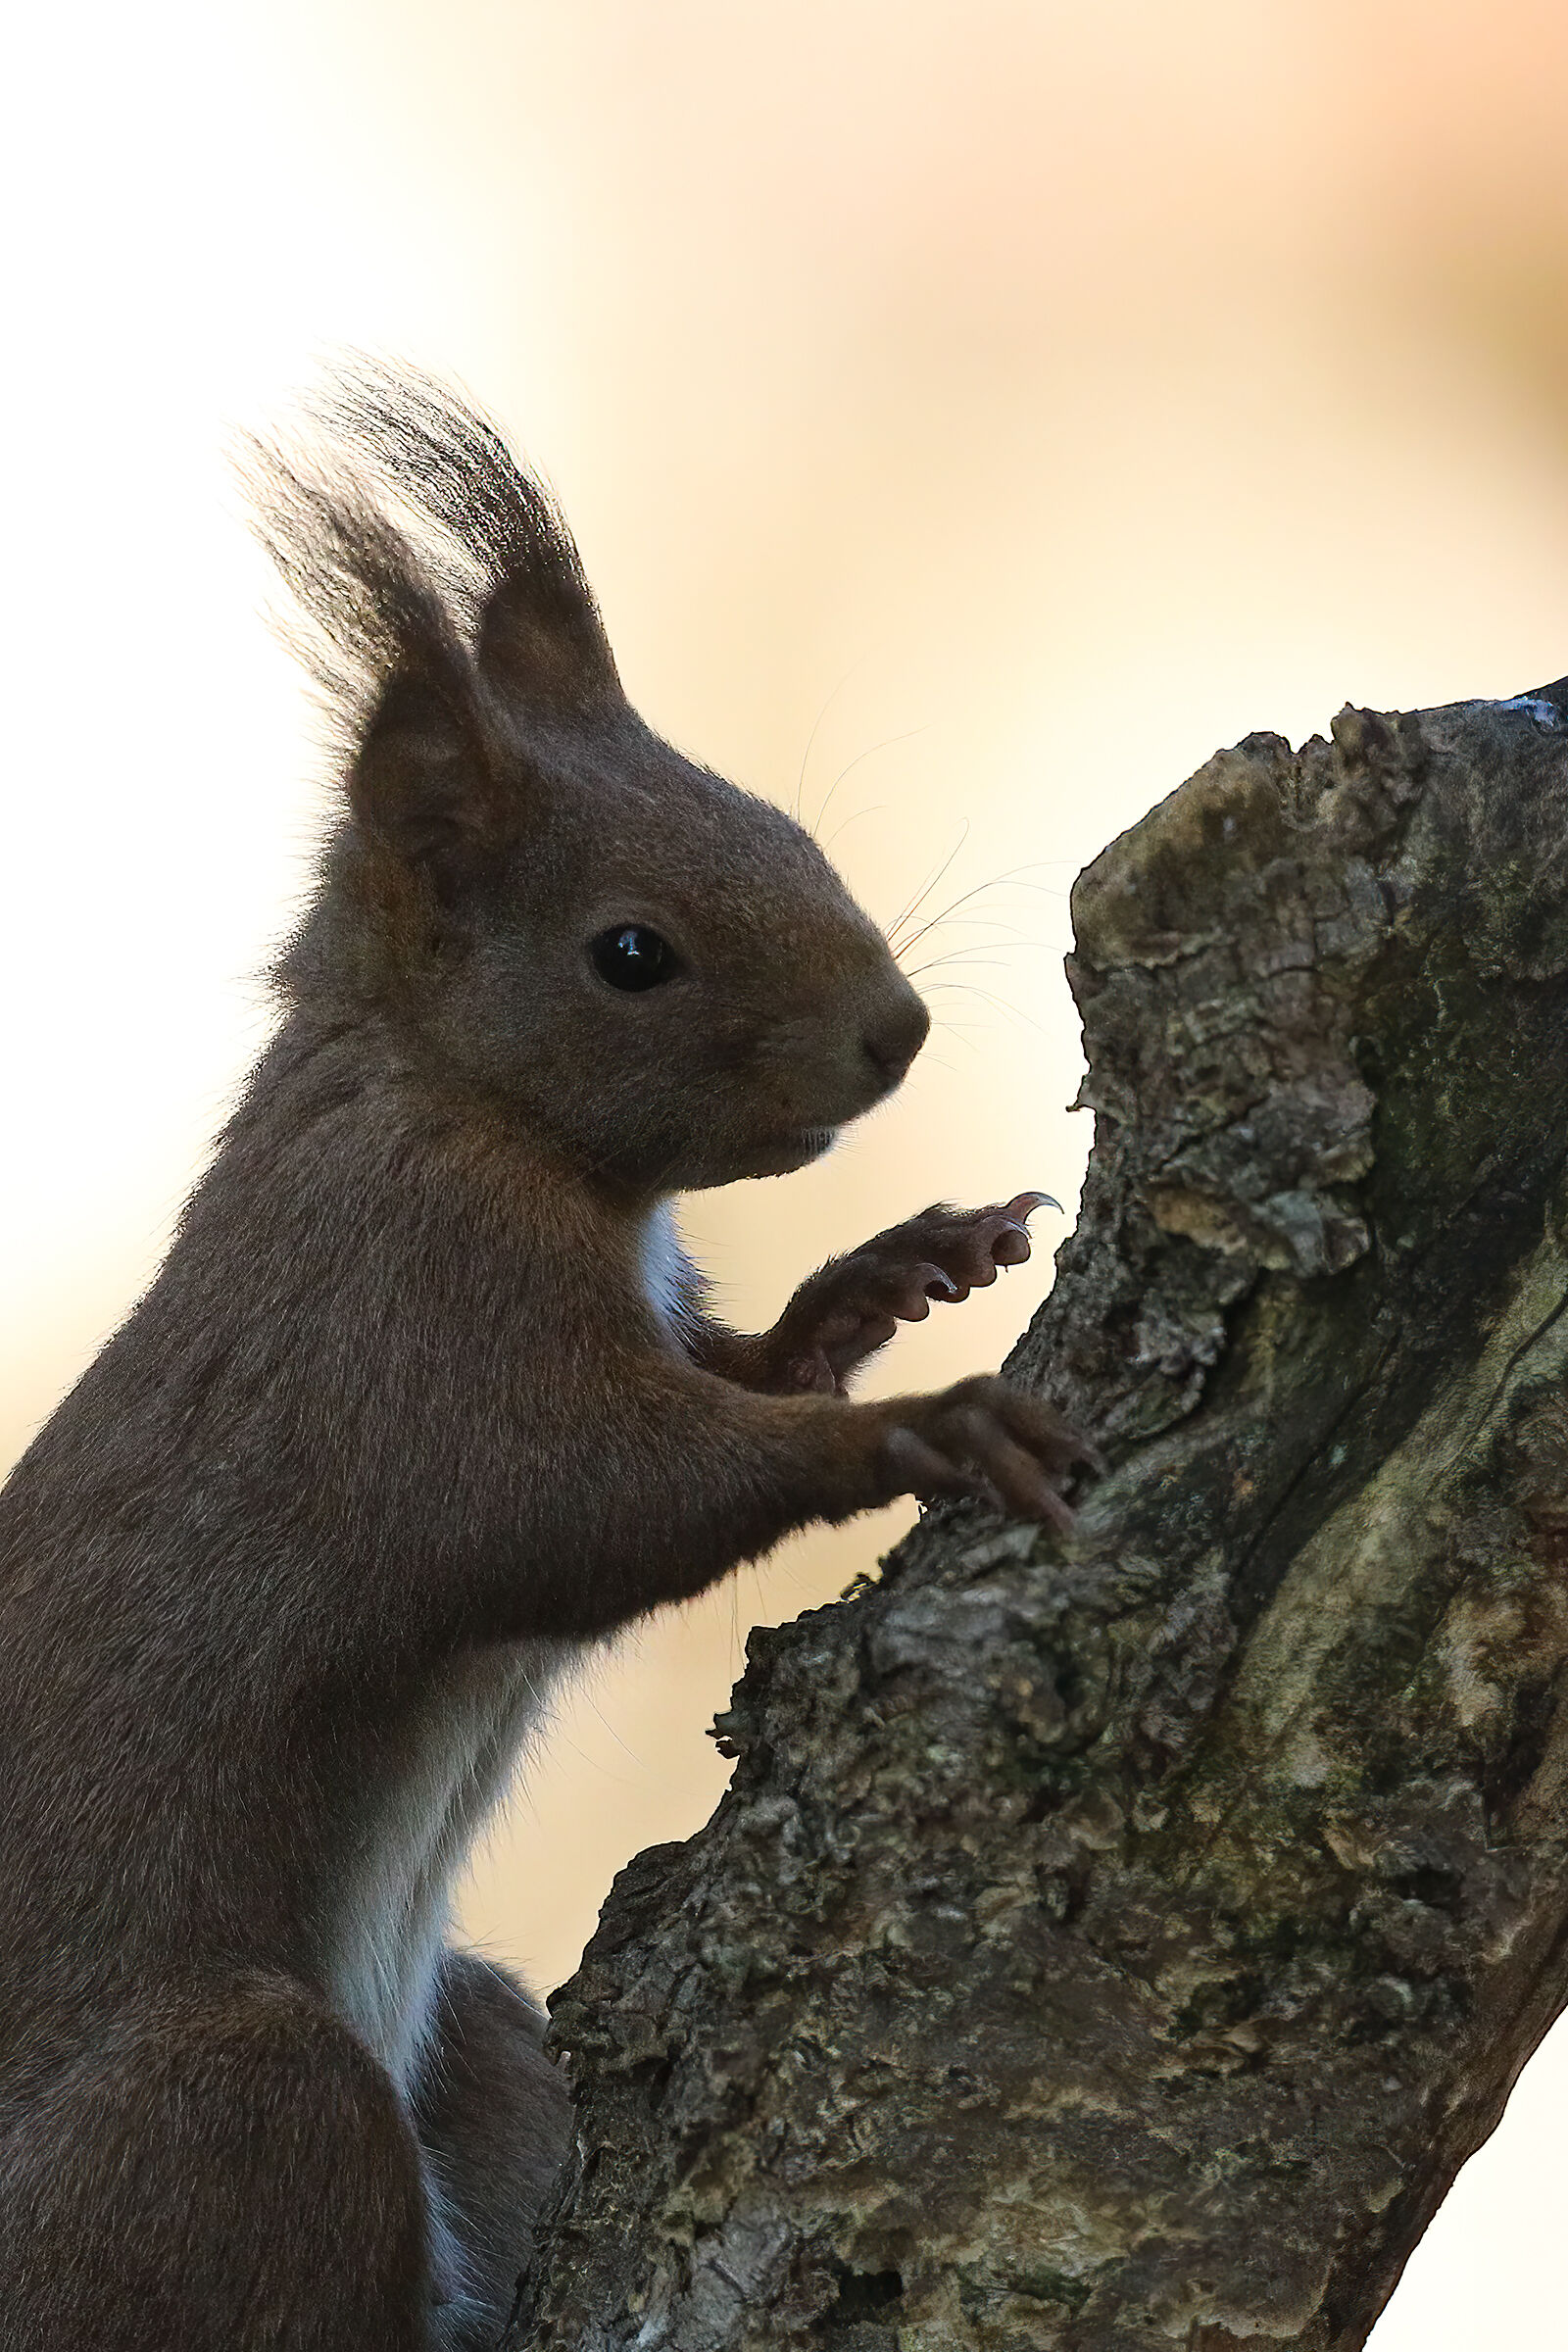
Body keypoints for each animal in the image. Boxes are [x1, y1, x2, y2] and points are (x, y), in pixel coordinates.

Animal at [0, 363, 1091, 2351]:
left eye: (774, 818)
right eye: (630, 953)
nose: (894, 1034)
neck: (461, 1103)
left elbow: (739, 1377)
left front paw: (886, 1283)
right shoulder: (410, 1328)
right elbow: (587, 1508)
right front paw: (922, 1429)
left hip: (476, 2048)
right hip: (224, 2115)